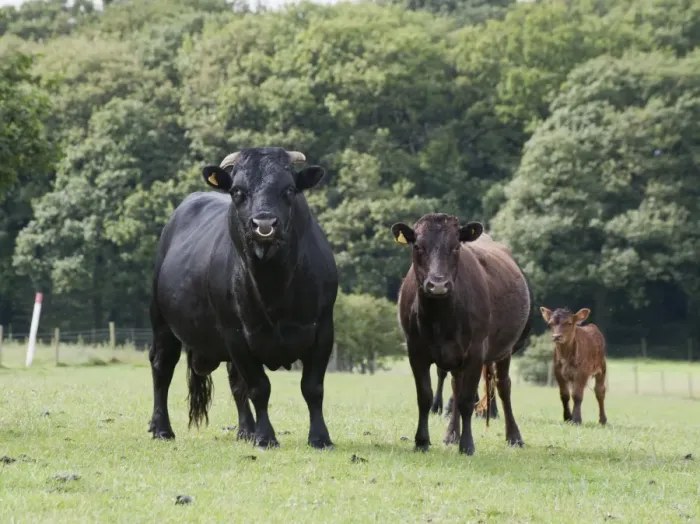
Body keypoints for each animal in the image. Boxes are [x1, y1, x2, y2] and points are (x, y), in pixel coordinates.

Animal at [148, 147, 338, 450]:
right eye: (238, 191)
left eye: (289, 189)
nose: (264, 224)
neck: (275, 287)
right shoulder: (236, 333)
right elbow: (259, 387)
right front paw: (265, 437)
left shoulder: (323, 328)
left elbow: (312, 387)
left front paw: (320, 438)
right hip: (162, 322)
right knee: (162, 368)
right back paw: (161, 428)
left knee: (235, 383)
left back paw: (246, 430)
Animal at [392, 213, 533, 455]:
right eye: (418, 246)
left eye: (456, 246)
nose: (438, 284)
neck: (439, 316)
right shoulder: (415, 351)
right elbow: (425, 396)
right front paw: (422, 440)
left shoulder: (476, 352)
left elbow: (468, 400)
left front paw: (467, 444)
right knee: (456, 387)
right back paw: (451, 434)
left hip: (504, 350)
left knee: (503, 386)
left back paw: (514, 436)